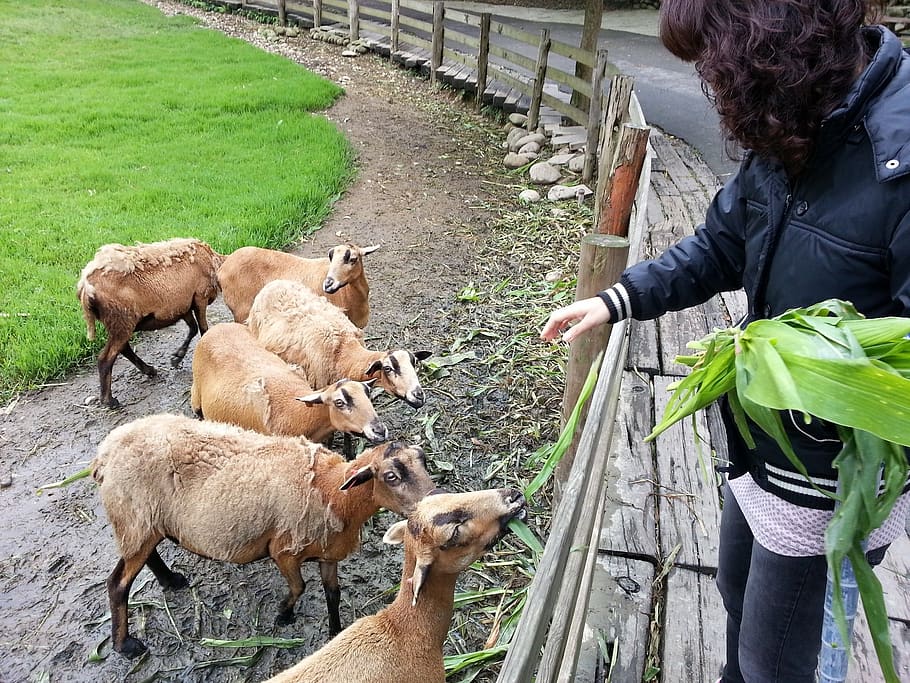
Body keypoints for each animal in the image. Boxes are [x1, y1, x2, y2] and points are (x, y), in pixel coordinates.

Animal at [76, 237, 224, 409]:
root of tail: (85, 288)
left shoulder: (182, 305)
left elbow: (192, 328)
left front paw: (176, 358)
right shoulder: (200, 296)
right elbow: (203, 329)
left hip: (119, 322)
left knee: (124, 349)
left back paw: (149, 370)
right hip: (122, 319)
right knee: (106, 358)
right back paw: (109, 400)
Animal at [91, 414, 435, 658]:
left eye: (423, 460)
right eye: (391, 476)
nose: (436, 499)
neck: (333, 493)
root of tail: (106, 452)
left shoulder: (328, 553)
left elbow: (332, 594)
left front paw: (334, 631)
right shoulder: (283, 550)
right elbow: (299, 586)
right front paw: (283, 615)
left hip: (145, 523)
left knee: (147, 556)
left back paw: (170, 580)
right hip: (134, 518)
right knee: (118, 583)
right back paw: (125, 646)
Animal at [190, 322, 388, 445]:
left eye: (368, 395)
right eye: (339, 402)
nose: (379, 430)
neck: (297, 413)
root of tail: (218, 327)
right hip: (196, 398)